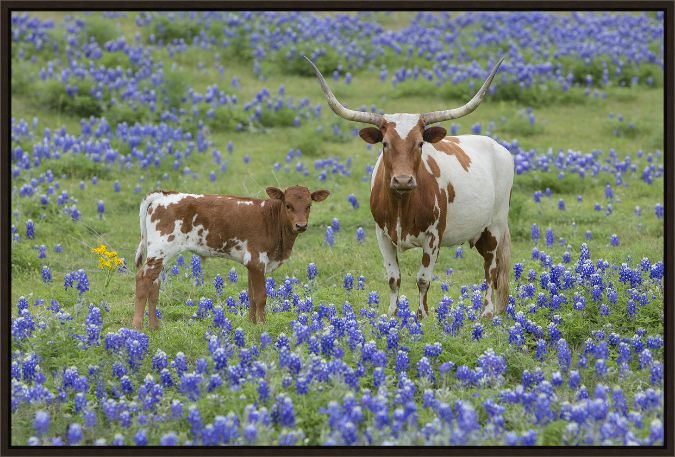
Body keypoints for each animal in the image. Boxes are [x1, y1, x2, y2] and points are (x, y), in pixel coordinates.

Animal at [133, 185, 330, 328]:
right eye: (288, 205)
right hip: (160, 251)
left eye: (309, 206)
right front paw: (263, 326)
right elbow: (261, 297)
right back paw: (138, 327)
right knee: (143, 279)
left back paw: (155, 328)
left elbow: (251, 296)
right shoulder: (257, 260)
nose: (301, 225)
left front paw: (252, 325)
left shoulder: (251, 264)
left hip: (161, 256)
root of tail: (163, 195)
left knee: (154, 286)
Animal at [308, 56, 516, 318]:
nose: (403, 180)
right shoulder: (382, 235)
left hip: (495, 226)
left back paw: (487, 313)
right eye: (385, 143)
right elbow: (393, 278)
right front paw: (393, 315)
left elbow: (423, 279)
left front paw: (421, 316)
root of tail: (498, 147)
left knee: (491, 269)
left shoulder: (434, 237)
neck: (401, 205)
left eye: (419, 143)